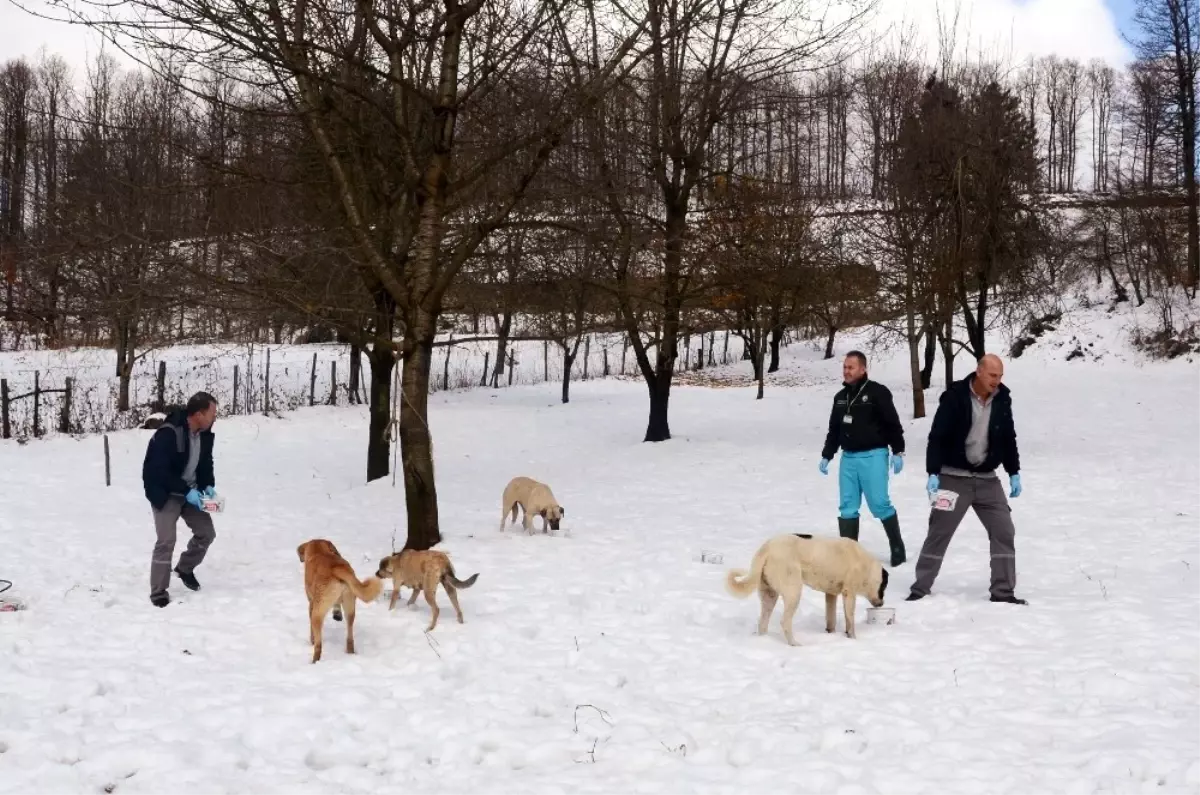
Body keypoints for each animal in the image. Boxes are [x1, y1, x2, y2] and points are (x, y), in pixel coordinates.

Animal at [724, 535, 888, 648]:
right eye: (884, 587)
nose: (882, 604)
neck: (867, 567)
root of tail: (767, 547)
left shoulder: (831, 595)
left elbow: (831, 619)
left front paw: (831, 634)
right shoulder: (849, 594)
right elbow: (850, 620)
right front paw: (852, 638)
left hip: (769, 595)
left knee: (762, 623)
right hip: (794, 592)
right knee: (784, 622)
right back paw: (794, 644)